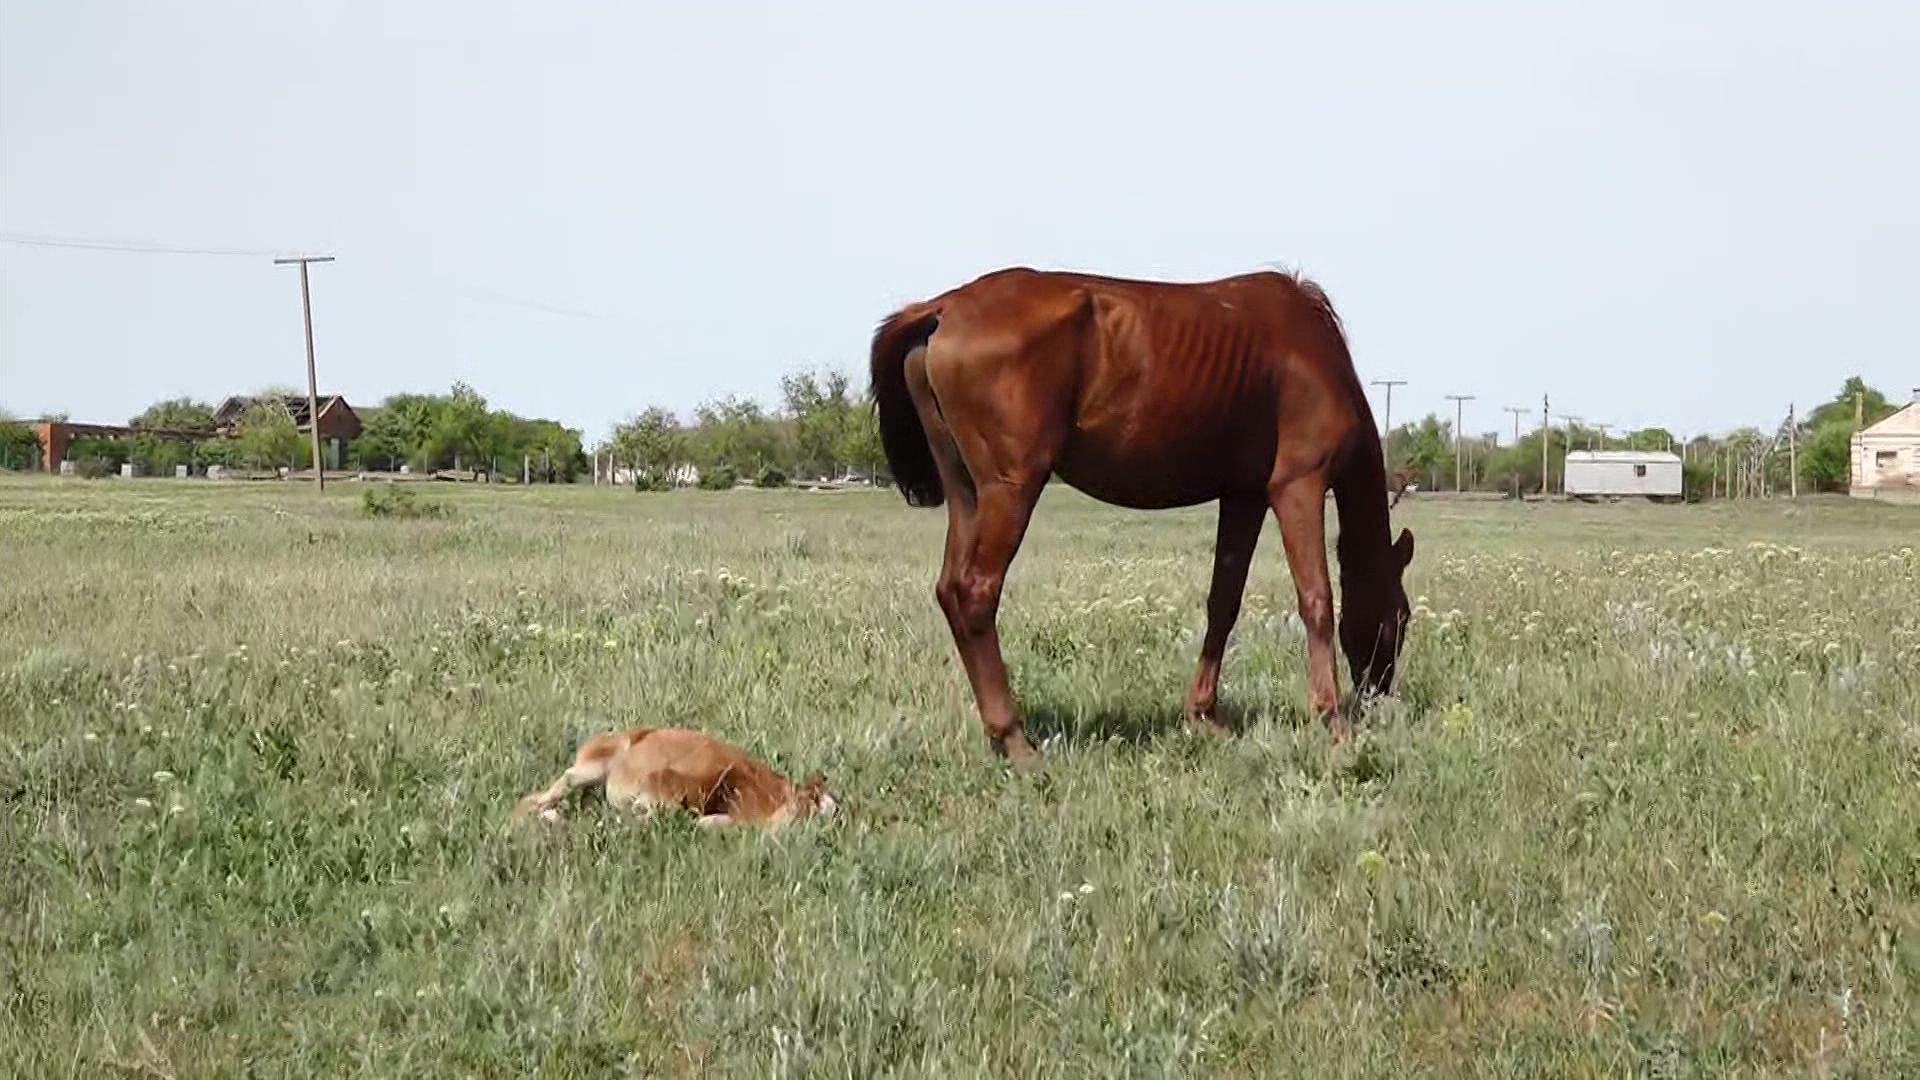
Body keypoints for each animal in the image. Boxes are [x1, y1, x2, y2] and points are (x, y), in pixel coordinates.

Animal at [869, 267, 1414, 767]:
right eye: (1401, 616)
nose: (1379, 691)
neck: (1312, 348)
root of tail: (943, 308)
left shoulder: (1243, 496)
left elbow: (1224, 602)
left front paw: (1204, 714)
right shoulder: (1298, 486)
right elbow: (1316, 600)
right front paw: (1333, 721)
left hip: (967, 494)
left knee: (950, 590)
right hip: (1011, 488)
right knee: (975, 592)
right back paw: (1015, 738)